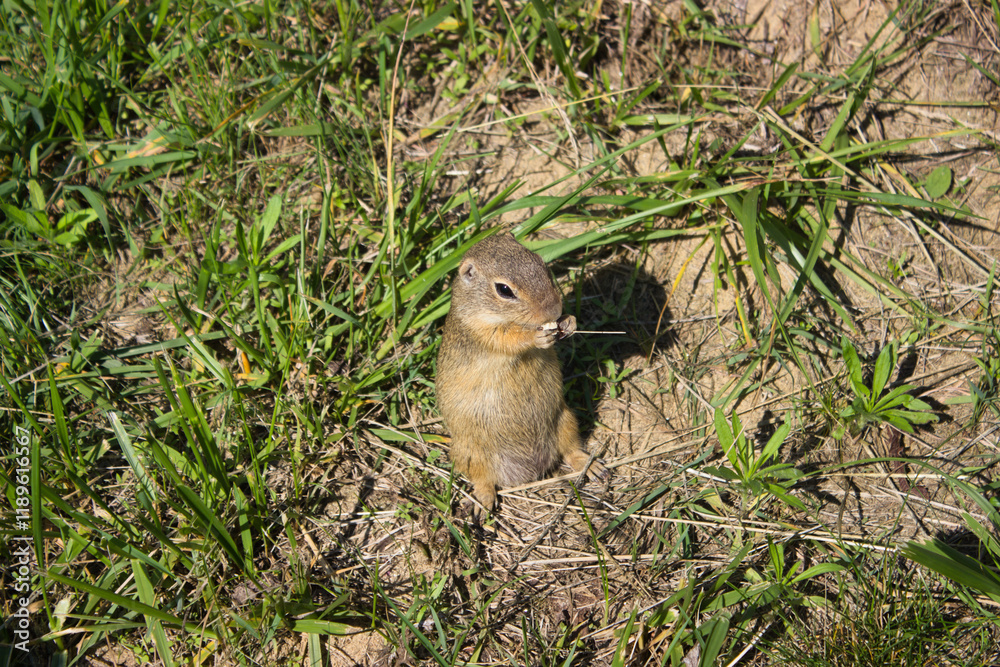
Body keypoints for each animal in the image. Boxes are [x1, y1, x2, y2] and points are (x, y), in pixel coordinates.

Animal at [436, 231, 606, 514]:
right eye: (504, 290)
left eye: (542, 264)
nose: (553, 310)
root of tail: (530, 469)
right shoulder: (483, 333)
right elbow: (510, 339)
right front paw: (538, 336)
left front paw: (569, 322)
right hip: (470, 452)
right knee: (483, 478)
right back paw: (483, 503)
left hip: (565, 421)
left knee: (571, 451)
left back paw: (590, 465)